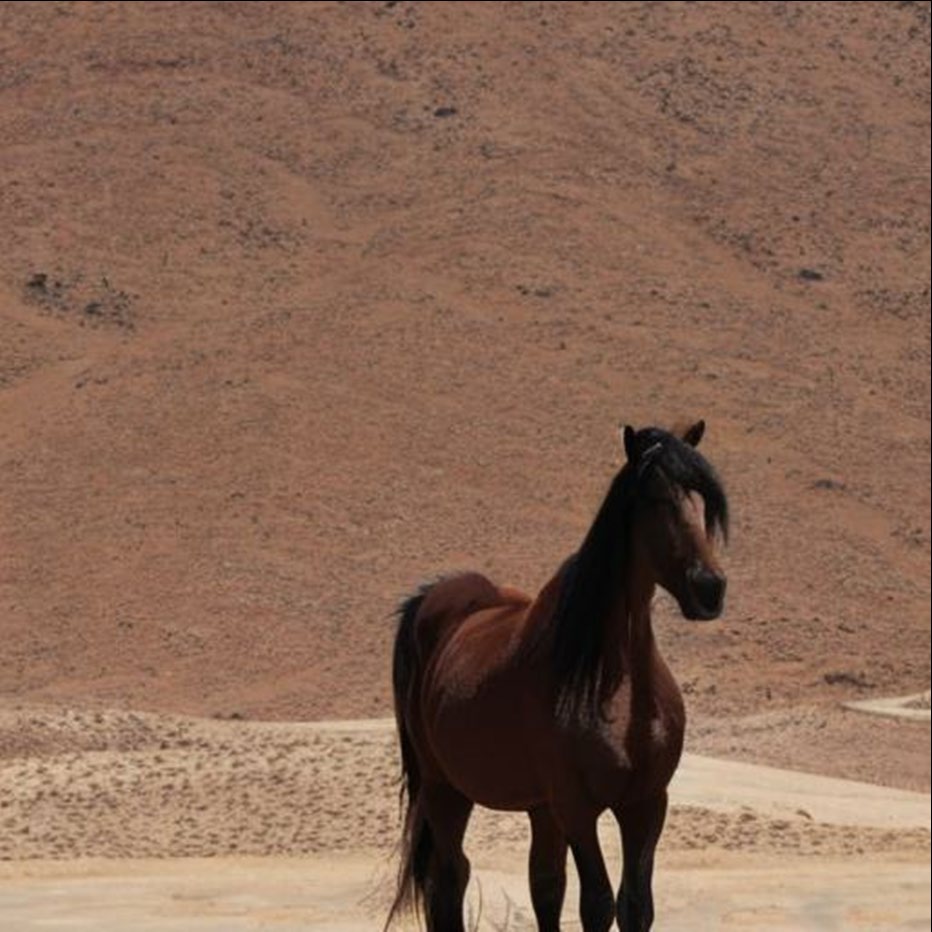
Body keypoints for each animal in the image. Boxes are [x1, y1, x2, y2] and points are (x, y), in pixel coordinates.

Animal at [386, 421, 728, 931]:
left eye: (703, 502)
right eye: (655, 498)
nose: (710, 588)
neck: (616, 680)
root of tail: (433, 601)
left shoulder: (646, 804)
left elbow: (634, 905)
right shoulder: (577, 806)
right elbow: (598, 903)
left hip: (537, 807)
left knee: (542, 883)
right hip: (443, 789)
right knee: (449, 880)